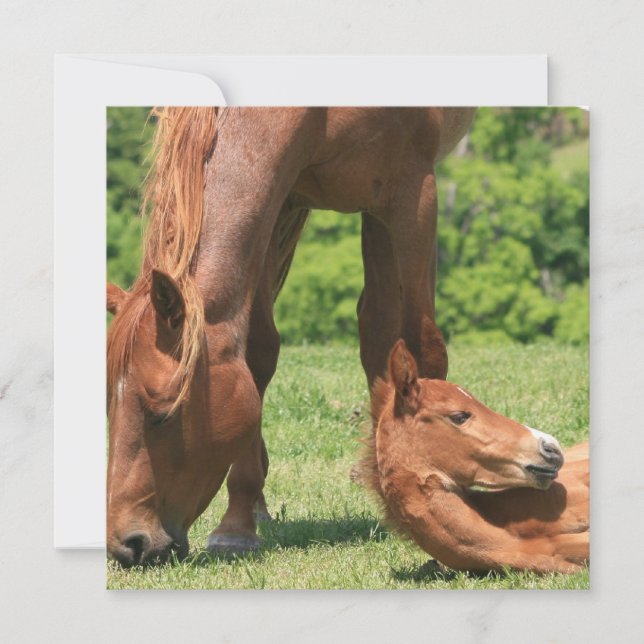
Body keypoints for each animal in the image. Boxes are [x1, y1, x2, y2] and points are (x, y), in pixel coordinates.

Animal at [106, 106, 475, 566]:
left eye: (163, 413)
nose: (127, 544)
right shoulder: (276, 200)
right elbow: (257, 354)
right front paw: (237, 525)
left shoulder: (415, 193)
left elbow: (425, 345)